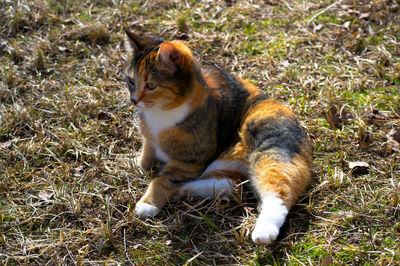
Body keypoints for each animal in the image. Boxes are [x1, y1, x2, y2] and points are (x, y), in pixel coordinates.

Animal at [123, 29, 310, 245]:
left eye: (152, 85)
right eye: (130, 81)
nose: (134, 100)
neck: (160, 113)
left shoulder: (190, 162)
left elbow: (162, 179)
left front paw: (148, 203)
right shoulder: (151, 140)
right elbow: (147, 148)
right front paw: (140, 163)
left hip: (271, 144)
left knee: (278, 187)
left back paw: (264, 231)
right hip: (224, 165)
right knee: (230, 185)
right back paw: (185, 190)